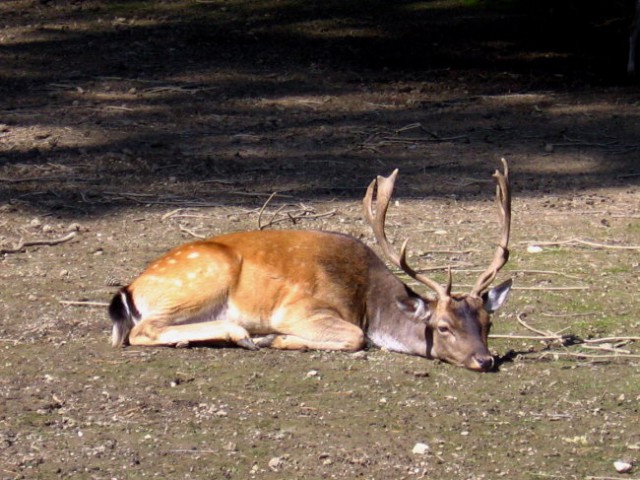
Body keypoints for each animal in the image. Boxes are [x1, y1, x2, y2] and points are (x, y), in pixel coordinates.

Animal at [107, 159, 512, 374]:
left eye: (488, 323)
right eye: (443, 326)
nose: (485, 359)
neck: (366, 300)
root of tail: (130, 290)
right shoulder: (300, 309)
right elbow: (356, 336)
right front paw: (277, 339)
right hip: (203, 279)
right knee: (141, 330)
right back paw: (244, 334)